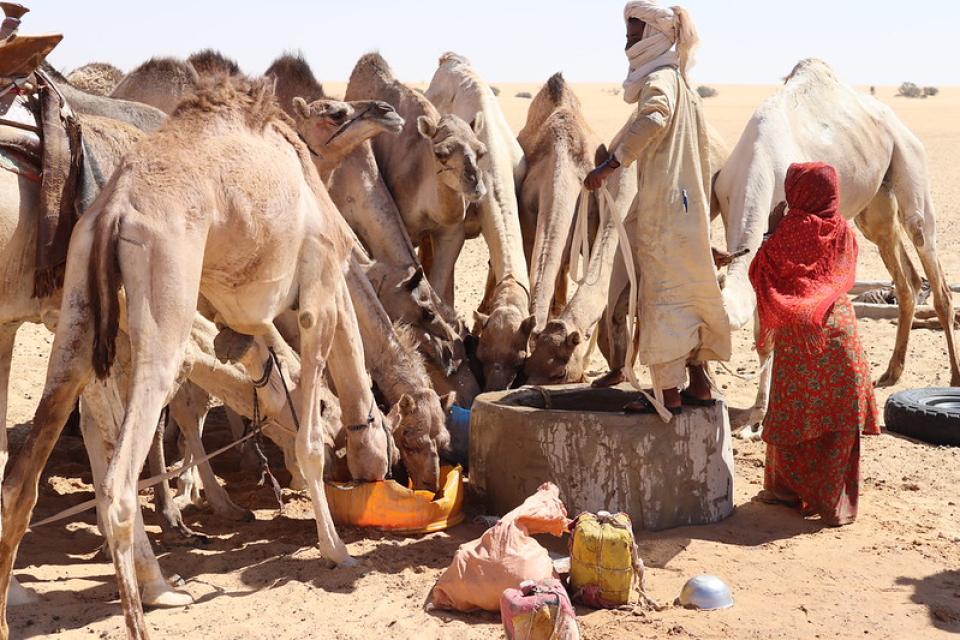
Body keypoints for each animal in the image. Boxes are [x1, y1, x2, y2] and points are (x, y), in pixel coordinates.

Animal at [0, 77, 391, 639]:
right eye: (335, 111)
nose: (389, 111)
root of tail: (112, 210)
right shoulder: (318, 295)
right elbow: (306, 436)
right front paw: (336, 550)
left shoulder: (242, 311)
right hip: (162, 297)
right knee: (118, 481)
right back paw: (152, 600)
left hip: (74, 314)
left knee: (20, 481)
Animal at [716, 58, 959, 427]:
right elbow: (764, 336)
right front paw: (758, 414)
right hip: (875, 208)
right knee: (907, 279)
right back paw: (891, 372)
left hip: (910, 163)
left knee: (933, 268)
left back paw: (955, 379)